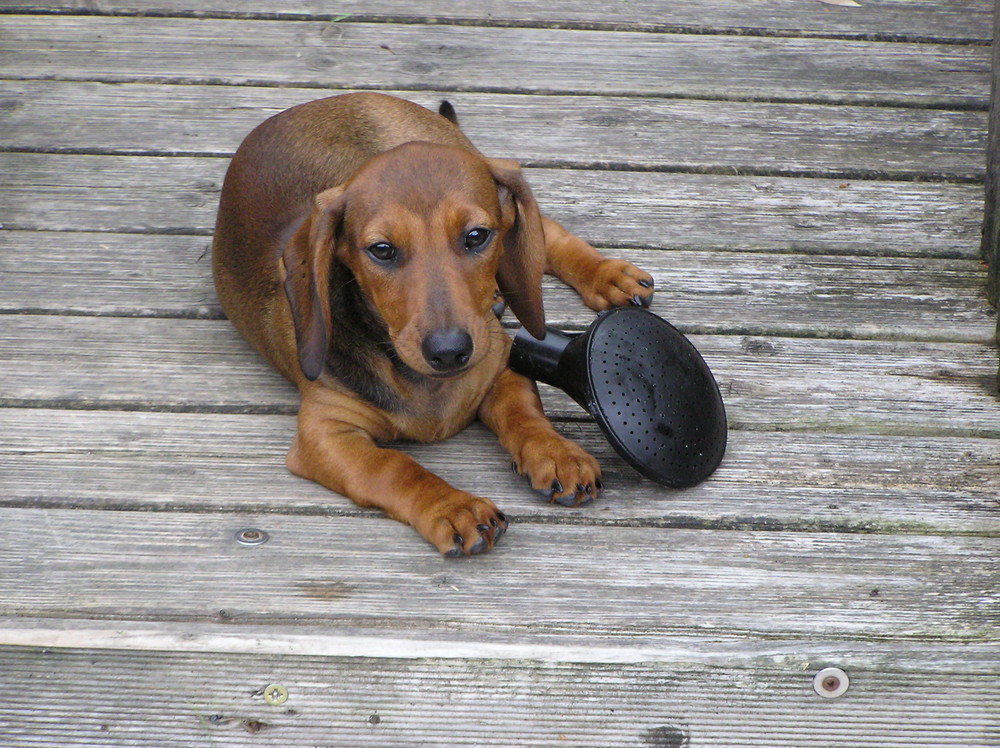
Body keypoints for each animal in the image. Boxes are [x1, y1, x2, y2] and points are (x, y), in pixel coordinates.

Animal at [214, 92, 652, 556]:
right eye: (381, 249)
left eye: (476, 236)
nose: (449, 351)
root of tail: (329, 100)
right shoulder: (325, 432)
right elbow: (392, 466)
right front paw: (451, 506)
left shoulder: (500, 362)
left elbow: (523, 413)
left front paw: (556, 452)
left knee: (544, 235)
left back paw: (607, 275)